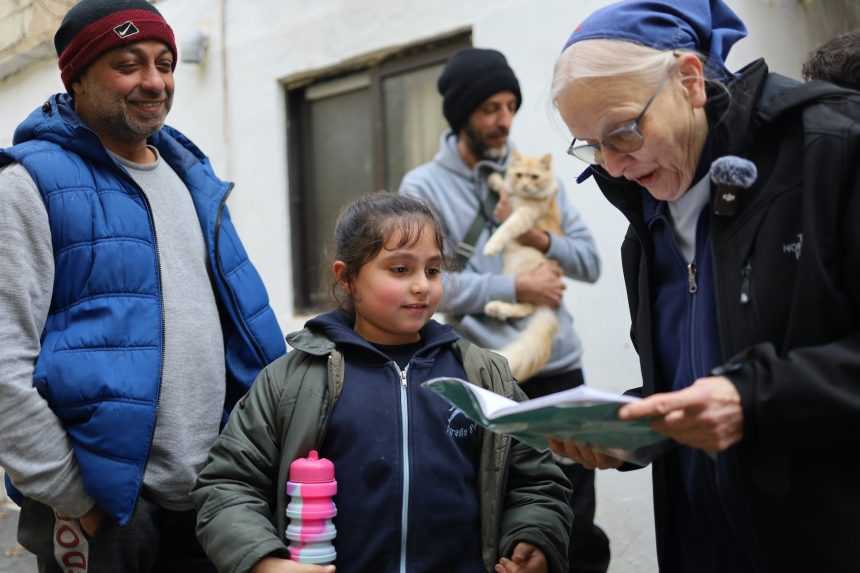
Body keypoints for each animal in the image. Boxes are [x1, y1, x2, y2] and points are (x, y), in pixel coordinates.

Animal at [484, 150, 564, 382]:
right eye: (519, 175)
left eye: (535, 177)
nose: (525, 186)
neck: (522, 197)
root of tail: (550, 308)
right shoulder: (510, 198)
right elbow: (504, 187)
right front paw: (494, 179)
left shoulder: (524, 214)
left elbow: (507, 226)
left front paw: (491, 245)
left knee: (526, 306)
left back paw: (496, 308)